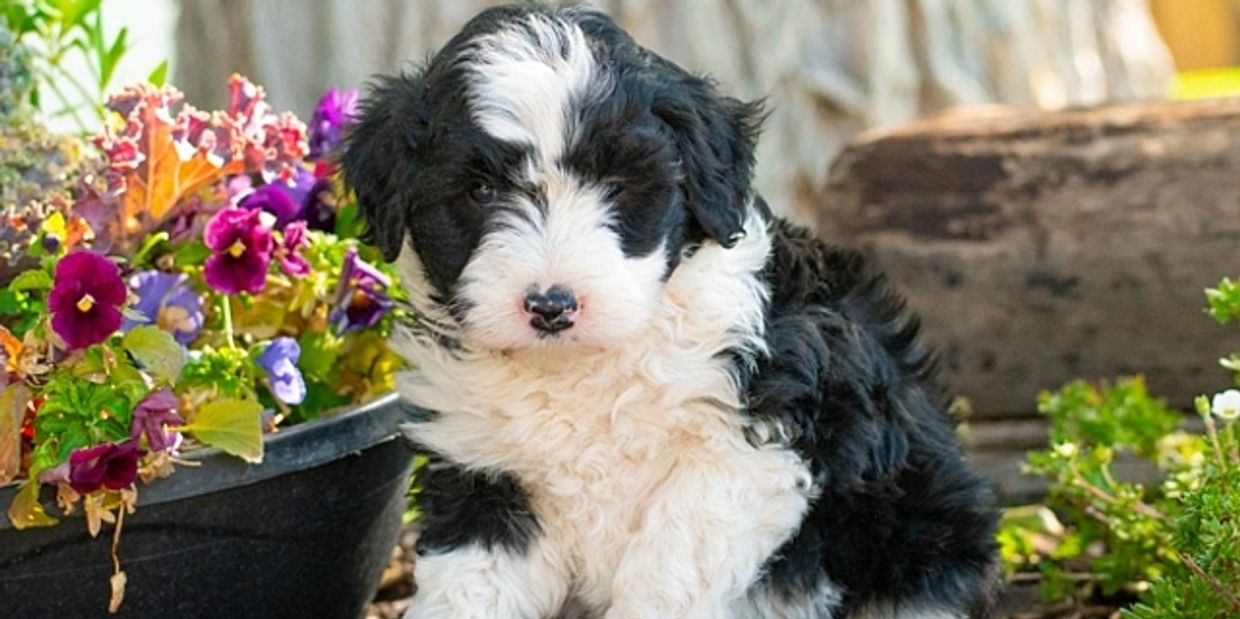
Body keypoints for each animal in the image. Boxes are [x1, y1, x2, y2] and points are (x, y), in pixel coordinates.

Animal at [344, 4, 1001, 619]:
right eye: (480, 192)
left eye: (616, 185)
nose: (551, 307)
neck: (582, 367)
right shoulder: (485, 474)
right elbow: (469, 585)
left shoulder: (747, 451)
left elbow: (667, 570)